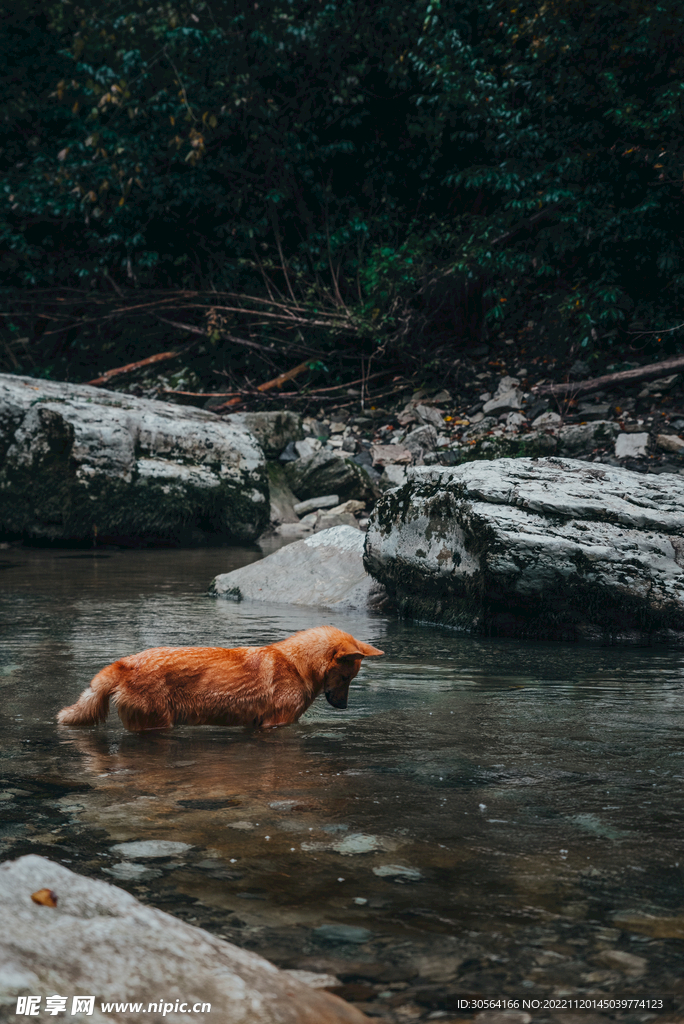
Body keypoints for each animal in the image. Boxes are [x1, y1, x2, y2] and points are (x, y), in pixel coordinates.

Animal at [56, 618, 382, 733]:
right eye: (346, 679)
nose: (344, 707)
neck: (297, 664)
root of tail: (124, 664)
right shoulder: (277, 723)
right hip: (156, 722)